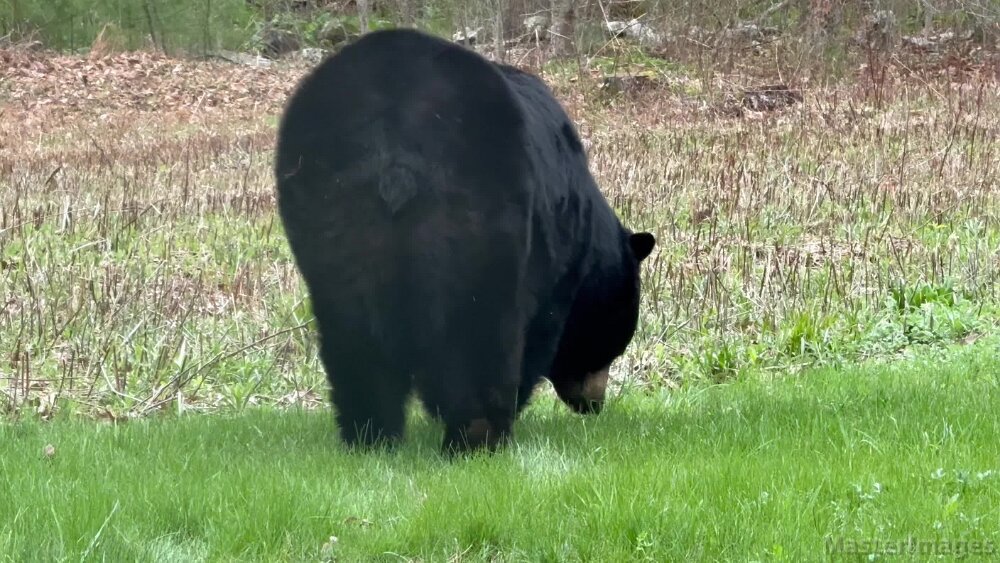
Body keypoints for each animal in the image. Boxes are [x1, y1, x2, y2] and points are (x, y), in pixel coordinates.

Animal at [274, 28, 655, 455]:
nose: (594, 404)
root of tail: (394, 141)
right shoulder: (555, 263)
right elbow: (540, 333)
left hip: (327, 214)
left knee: (350, 333)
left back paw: (370, 436)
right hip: (483, 218)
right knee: (480, 335)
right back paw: (479, 437)